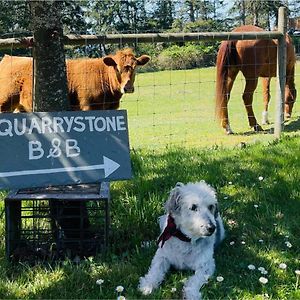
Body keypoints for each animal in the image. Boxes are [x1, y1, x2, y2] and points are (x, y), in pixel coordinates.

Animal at [0, 49, 150, 112]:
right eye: (117, 68)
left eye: (135, 67)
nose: (127, 88)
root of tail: (8, 57)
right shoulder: (87, 106)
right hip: (4, 103)